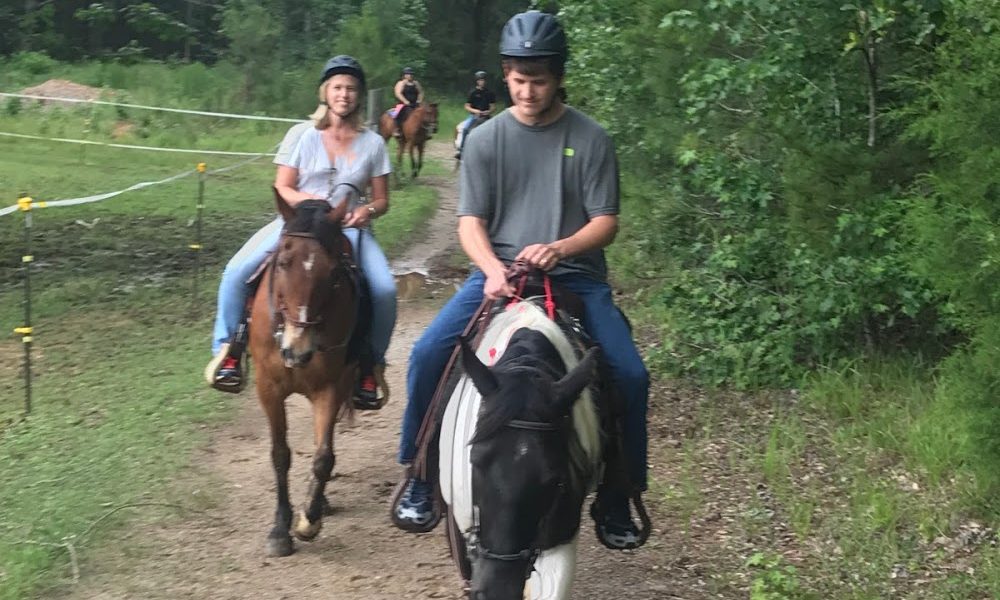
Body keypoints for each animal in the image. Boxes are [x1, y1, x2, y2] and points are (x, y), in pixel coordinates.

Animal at [250, 192, 360, 556]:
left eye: (334, 273)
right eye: (283, 262)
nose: (296, 351)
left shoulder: (330, 387)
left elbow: (324, 456)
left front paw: (308, 521)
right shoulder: (267, 387)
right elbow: (280, 454)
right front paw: (279, 530)